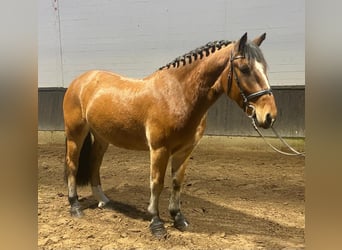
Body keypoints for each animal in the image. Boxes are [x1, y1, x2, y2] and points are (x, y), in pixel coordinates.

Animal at [62, 32, 276, 237]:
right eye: (245, 69)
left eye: (265, 68)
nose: (269, 116)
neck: (177, 95)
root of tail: (80, 80)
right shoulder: (159, 149)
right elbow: (157, 183)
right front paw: (156, 223)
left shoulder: (185, 150)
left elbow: (177, 182)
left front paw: (178, 218)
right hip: (75, 134)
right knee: (73, 164)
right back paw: (75, 206)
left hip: (102, 138)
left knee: (94, 164)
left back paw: (104, 200)